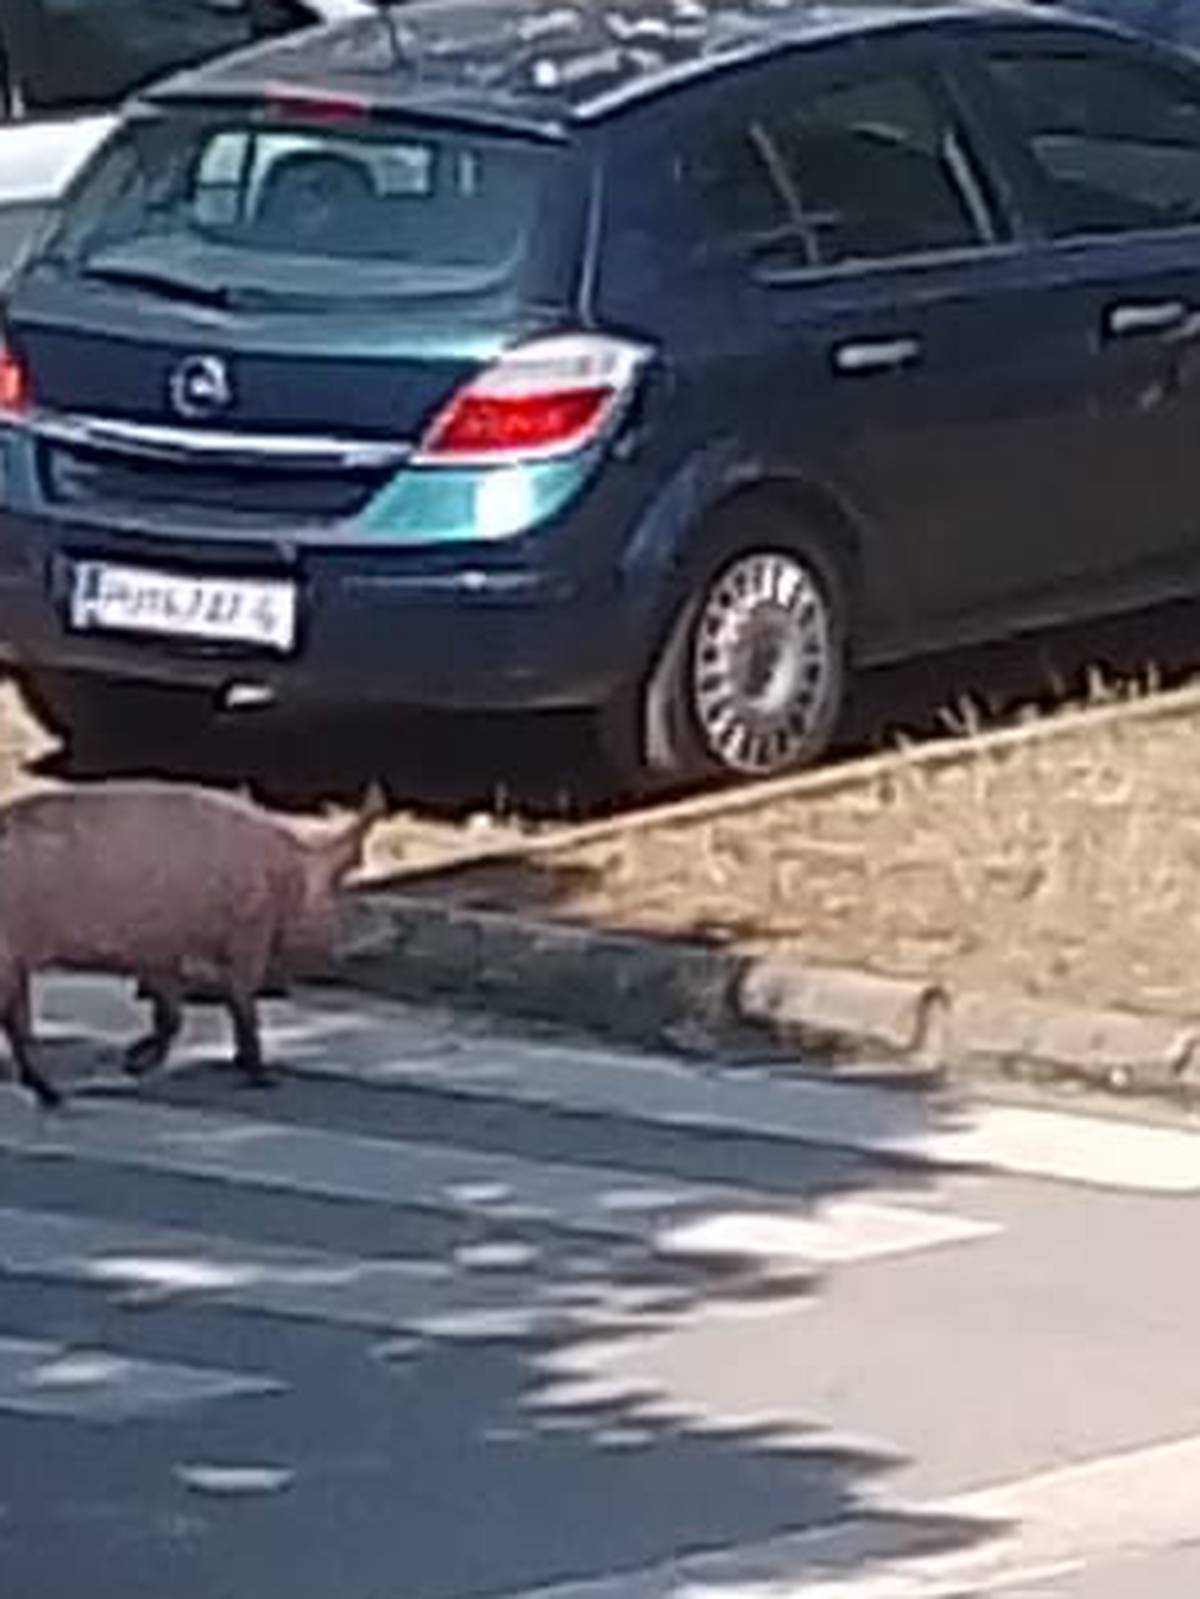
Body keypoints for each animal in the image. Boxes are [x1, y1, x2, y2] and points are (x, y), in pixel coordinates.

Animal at [0, 780, 385, 1106]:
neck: (284, 879)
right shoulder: (246, 939)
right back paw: (52, 1095)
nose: (351, 949)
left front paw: (132, 1063)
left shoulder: (161, 954)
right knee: (16, 1023)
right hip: (11, 951)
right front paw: (263, 1079)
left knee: (17, 1022)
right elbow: (241, 1004)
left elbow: (172, 1015)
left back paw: (51, 1093)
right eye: (338, 892)